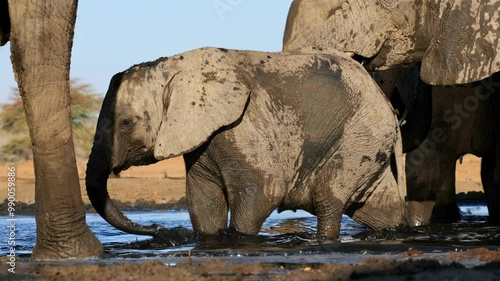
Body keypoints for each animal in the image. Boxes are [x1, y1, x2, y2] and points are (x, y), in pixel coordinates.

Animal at [87, 46, 406, 238]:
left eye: (125, 124)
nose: (160, 230)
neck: (171, 66)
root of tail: (385, 101)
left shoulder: (244, 125)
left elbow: (262, 193)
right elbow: (203, 203)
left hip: (359, 136)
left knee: (328, 199)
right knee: (380, 209)